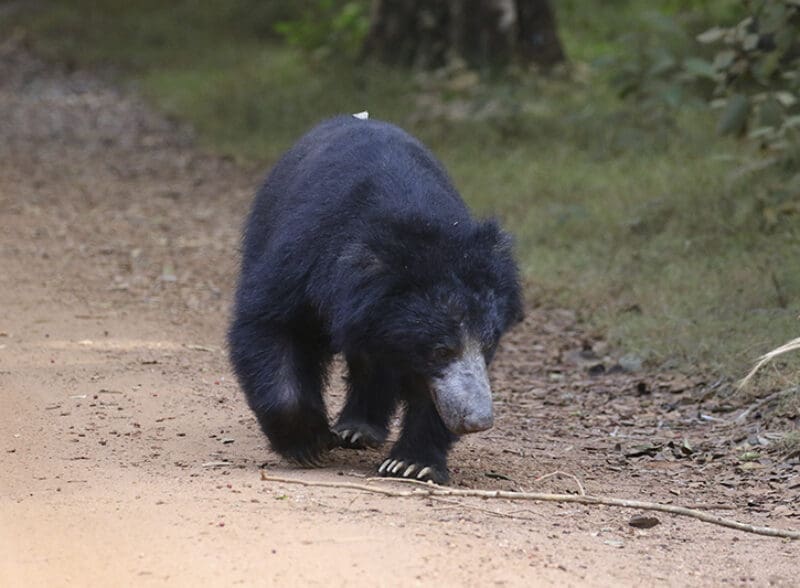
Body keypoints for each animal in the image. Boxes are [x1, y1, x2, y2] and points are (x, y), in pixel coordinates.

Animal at [228, 115, 523, 484]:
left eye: (488, 345)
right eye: (442, 350)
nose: (478, 420)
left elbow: (432, 394)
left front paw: (412, 464)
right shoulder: (302, 260)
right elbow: (269, 325)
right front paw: (309, 444)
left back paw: (359, 429)